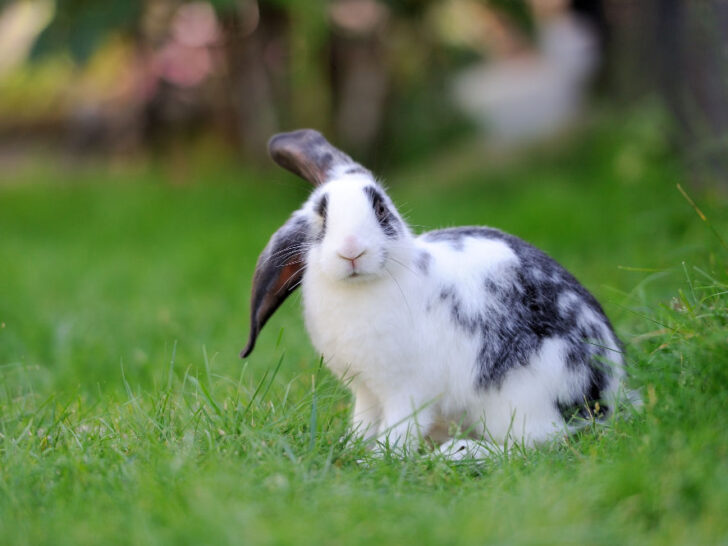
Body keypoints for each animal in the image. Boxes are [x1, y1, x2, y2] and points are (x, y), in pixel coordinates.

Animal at [241, 129, 631, 458]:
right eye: (321, 216)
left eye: (381, 209)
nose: (351, 250)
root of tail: (607, 400)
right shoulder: (366, 393)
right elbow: (362, 424)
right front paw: (349, 448)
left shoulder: (407, 393)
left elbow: (399, 431)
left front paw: (373, 460)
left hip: (522, 396)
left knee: (534, 443)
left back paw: (458, 453)